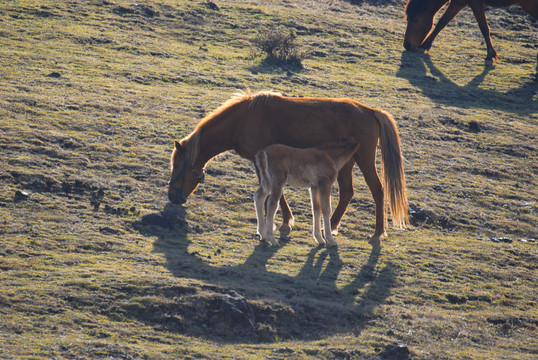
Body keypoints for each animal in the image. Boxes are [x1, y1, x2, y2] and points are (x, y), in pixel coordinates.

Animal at [402, 0, 536, 64]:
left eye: (416, 20)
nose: (407, 45)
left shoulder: (475, 3)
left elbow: (484, 27)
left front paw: (490, 56)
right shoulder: (458, 2)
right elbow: (441, 23)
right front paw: (425, 45)